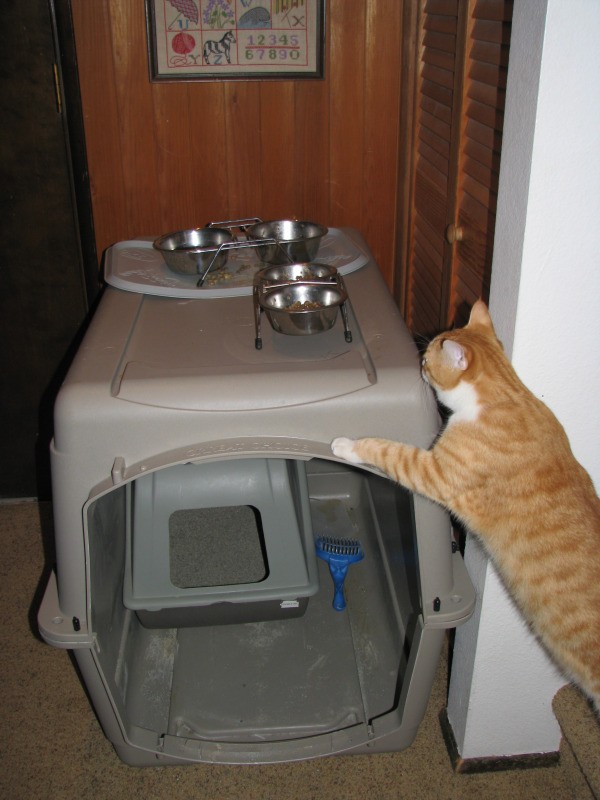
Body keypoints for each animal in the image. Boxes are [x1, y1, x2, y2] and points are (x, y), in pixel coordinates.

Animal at [332, 302, 600, 712]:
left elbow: (385, 449)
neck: (507, 394)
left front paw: (346, 445)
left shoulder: (431, 470)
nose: (420, 364)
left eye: (429, 358)